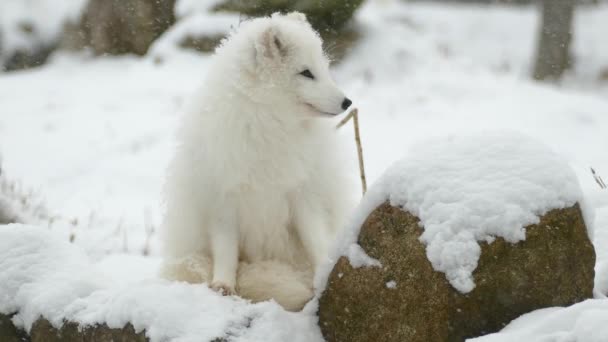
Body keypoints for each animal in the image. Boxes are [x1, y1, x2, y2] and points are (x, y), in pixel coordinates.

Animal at [159, 12, 354, 312]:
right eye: (306, 73)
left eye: (324, 69)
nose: (347, 102)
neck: (268, 127)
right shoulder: (222, 201)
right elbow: (226, 251)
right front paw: (223, 284)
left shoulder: (302, 193)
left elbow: (316, 239)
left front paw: (325, 273)